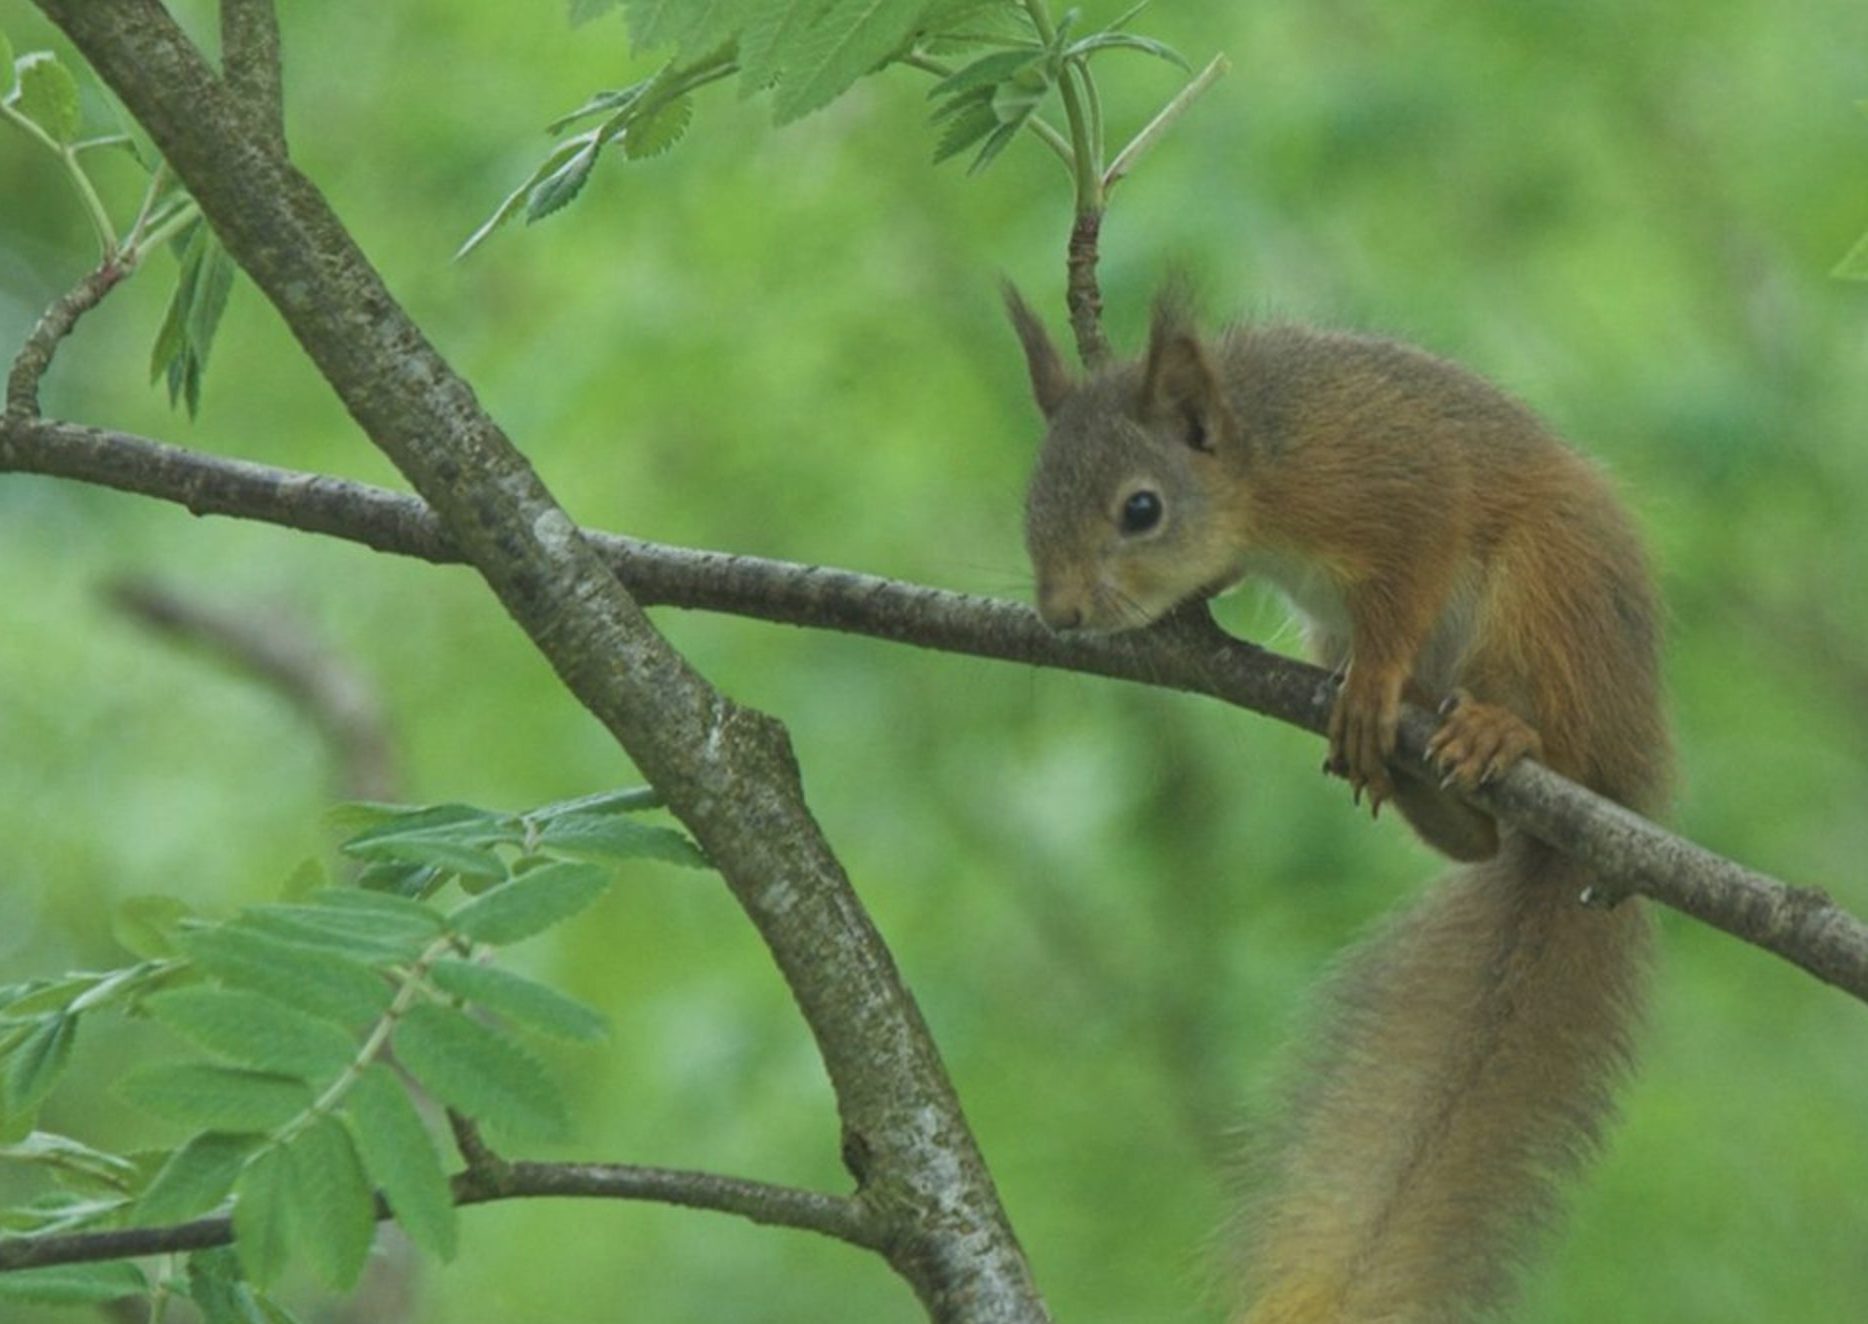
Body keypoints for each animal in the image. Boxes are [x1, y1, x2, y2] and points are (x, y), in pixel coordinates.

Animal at [1016, 289, 1673, 1322]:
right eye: (1032, 501)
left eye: (1141, 509)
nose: (1062, 614)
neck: (1261, 463)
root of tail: (1622, 783)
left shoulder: (1394, 477)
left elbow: (1409, 580)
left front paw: (1374, 681)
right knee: (1477, 842)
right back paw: (1425, 782)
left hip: (1551, 591)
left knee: (1557, 727)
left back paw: (1495, 733)